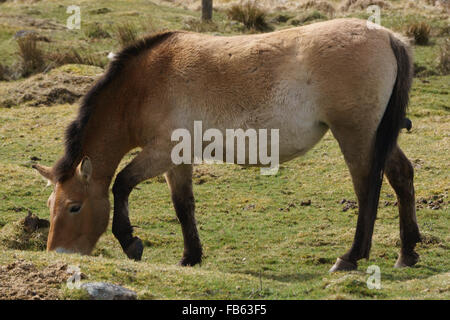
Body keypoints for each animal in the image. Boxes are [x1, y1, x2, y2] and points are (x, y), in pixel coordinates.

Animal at [34, 18, 422, 272]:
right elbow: (183, 205)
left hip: (356, 135)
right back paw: (407, 253)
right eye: (51, 205)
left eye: (74, 207)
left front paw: (130, 242)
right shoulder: (177, 159)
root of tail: (388, 36)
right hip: (378, 135)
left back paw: (351, 257)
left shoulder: (160, 153)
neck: (144, 85)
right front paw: (190, 256)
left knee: (366, 189)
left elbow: (121, 184)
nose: (59, 254)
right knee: (401, 176)